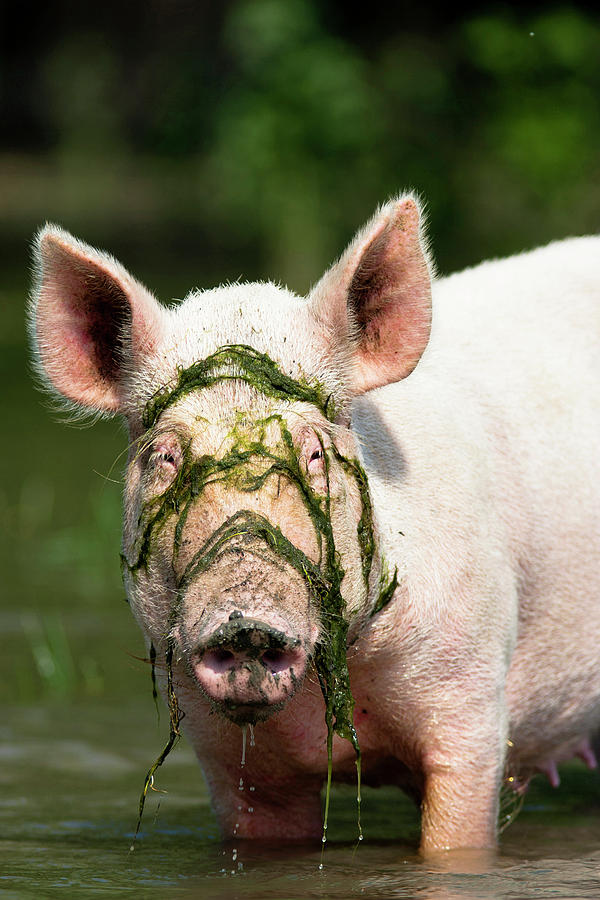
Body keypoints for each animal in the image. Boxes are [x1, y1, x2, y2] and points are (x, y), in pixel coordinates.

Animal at [30, 195, 600, 852]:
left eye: (314, 453)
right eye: (166, 457)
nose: (244, 623)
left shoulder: (474, 692)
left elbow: (456, 834)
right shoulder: (230, 758)